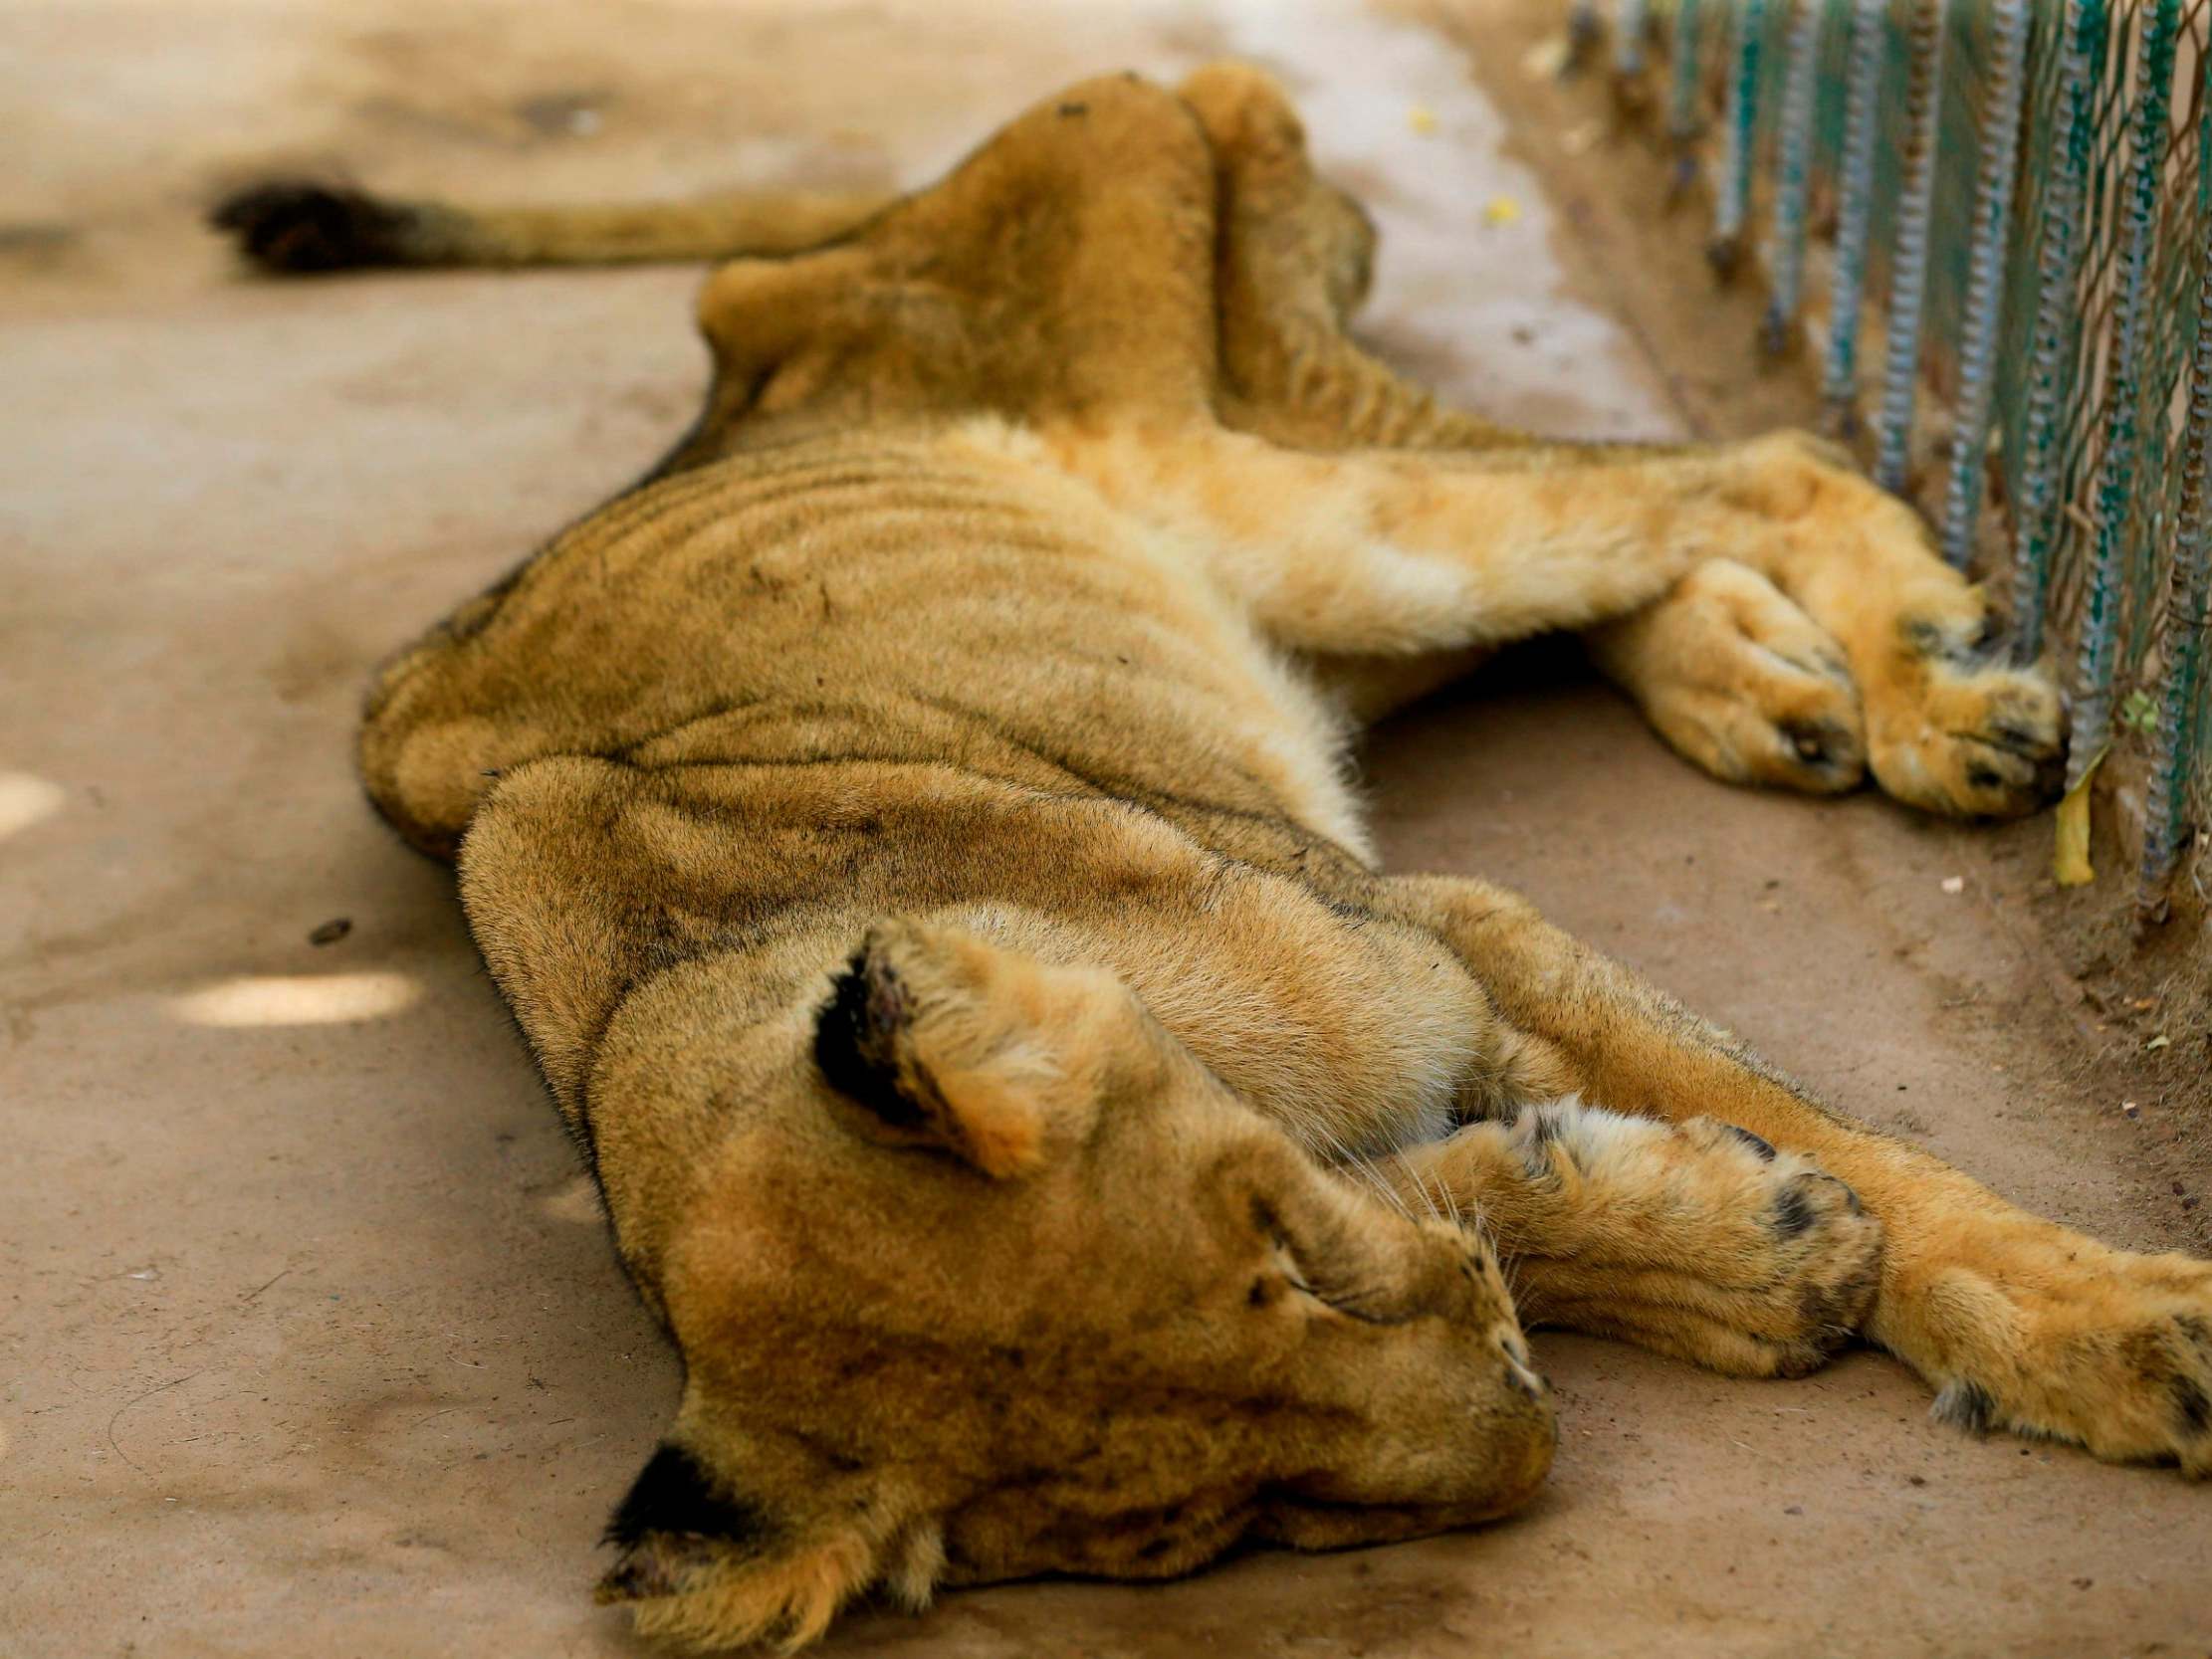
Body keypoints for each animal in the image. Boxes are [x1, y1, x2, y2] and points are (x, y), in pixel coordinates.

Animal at [211, 61, 2212, 1654]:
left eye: (1286, 1256)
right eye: (1236, 1521)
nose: (1526, 1425)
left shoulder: (1445, 930)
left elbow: (1882, 1164)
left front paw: (2118, 1330)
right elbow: (1520, 1197)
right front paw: (1744, 1249)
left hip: (1264, 484)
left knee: (1742, 459)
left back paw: (1928, 694)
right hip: (1297, 585)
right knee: (1626, 537)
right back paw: (1766, 686)